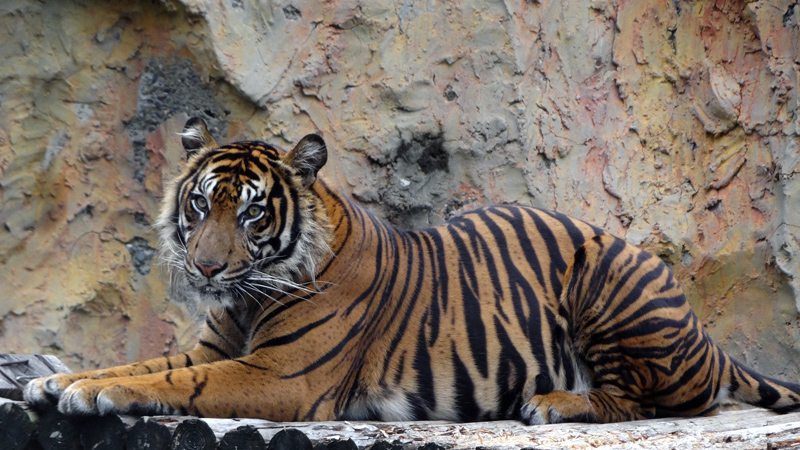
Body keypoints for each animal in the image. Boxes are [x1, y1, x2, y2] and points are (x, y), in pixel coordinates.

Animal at [21, 115, 800, 422]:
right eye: (201, 204)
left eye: (252, 215)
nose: (207, 270)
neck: (248, 297)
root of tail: (707, 340)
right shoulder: (216, 345)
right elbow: (151, 363)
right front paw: (60, 379)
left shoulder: (280, 375)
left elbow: (178, 382)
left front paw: (94, 390)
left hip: (610, 275)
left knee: (654, 400)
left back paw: (555, 403)